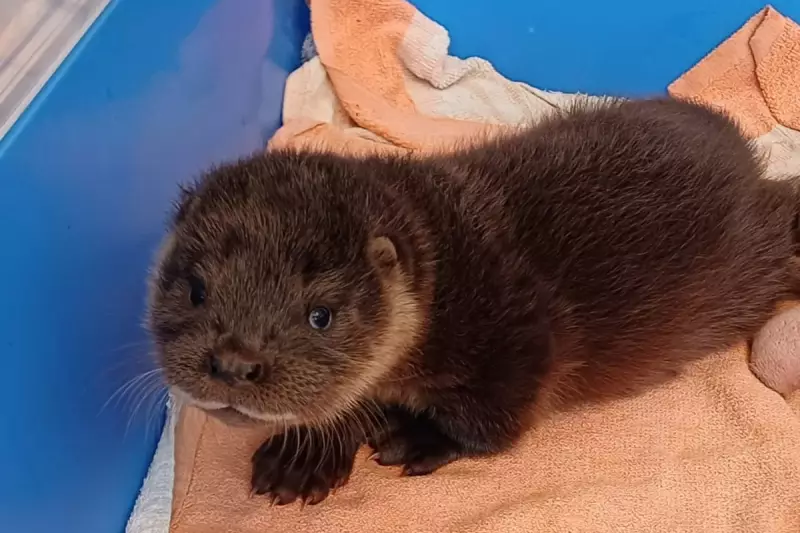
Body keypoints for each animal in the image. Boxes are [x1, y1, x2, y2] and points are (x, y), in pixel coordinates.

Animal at [147, 98, 800, 506]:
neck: (445, 281)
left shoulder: (519, 339)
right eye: (196, 289)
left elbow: (494, 424)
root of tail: (746, 154)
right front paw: (301, 458)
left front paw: (416, 436)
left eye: (320, 315)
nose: (234, 363)